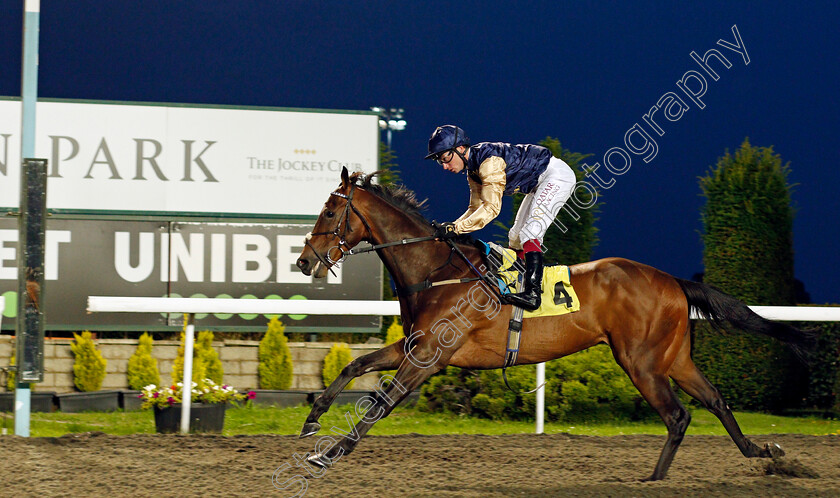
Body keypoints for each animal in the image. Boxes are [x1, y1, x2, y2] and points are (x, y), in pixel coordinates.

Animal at [296, 168, 812, 482]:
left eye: (329, 211)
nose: (304, 261)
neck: (437, 269)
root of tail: (672, 280)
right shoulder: (414, 346)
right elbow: (353, 367)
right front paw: (310, 420)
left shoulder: (428, 358)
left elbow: (378, 405)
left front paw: (327, 454)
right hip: (674, 358)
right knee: (714, 400)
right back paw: (765, 454)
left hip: (641, 362)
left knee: (677, 415)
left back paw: (655, 480)